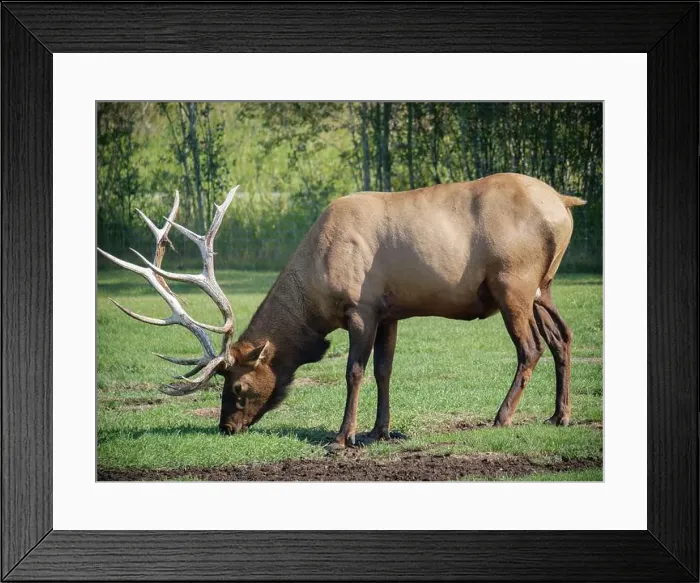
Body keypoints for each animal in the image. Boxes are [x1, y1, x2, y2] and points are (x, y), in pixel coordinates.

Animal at [98, 173, 585, 451]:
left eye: (236, 387)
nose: (226, 429)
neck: (314, 299)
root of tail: (565, 203)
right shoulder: (391, 312)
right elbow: (386, 370)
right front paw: (378, 431)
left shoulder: (361, 308)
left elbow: (354, 371)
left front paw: (342, 437)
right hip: (543, 286)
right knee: (563, 336)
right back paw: (559, 415)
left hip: (512, 284)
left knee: (530, 347)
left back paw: (501, 417)